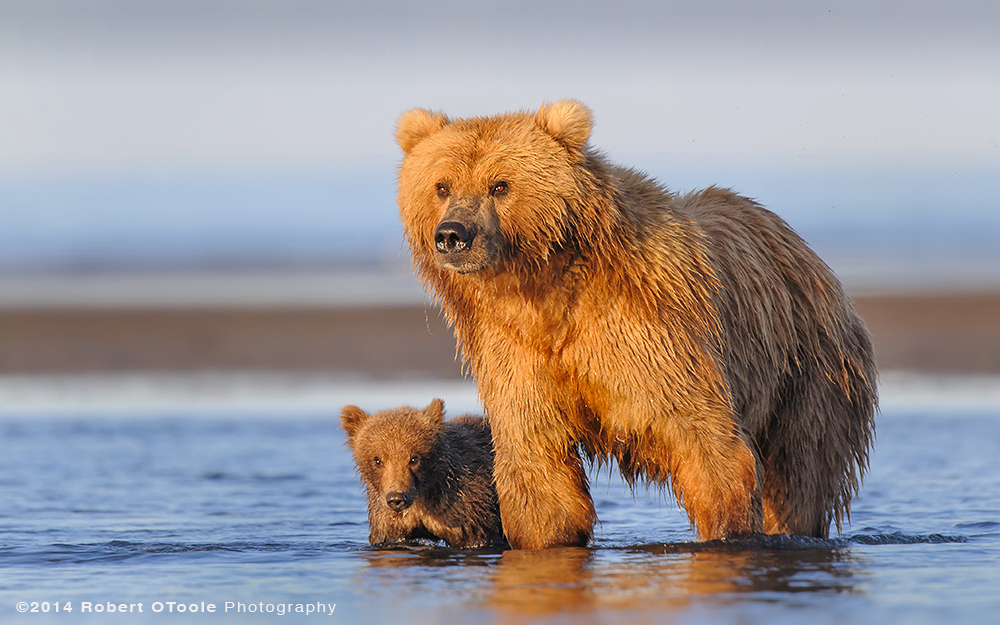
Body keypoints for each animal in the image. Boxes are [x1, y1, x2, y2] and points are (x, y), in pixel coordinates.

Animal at [394, 100, 880, 548]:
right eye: (442, 185)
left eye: (500, 185)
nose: (453, 234)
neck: (545, 288)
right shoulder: (513, 350)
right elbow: (539, 464)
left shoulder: (650, 334)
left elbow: (707, 444)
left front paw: (729, 535)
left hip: (809, 368)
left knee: (801, 471)